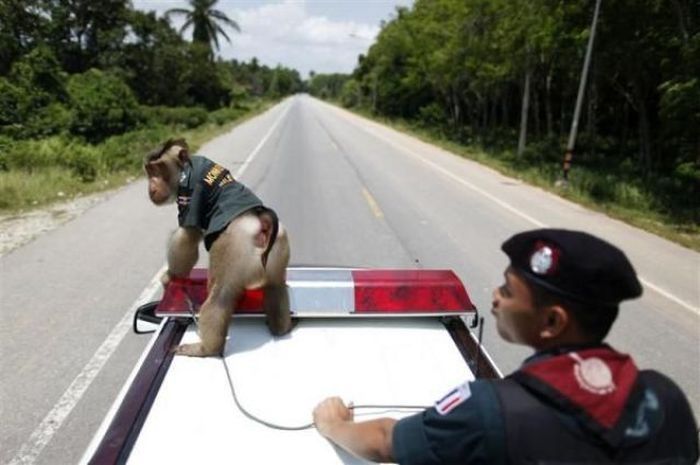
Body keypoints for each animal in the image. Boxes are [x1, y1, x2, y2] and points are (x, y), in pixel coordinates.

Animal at [145, 138, 292, 356]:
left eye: (158, 169)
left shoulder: (189, 192)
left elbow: (188, 236)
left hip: (231, 247)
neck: (185, 164)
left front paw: (171, 276)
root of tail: (260, 217)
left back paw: (206, 348)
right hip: (278, 250)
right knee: (276, 286)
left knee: (220, 296)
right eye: (149, 171)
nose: (151, 187)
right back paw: (280, 326)